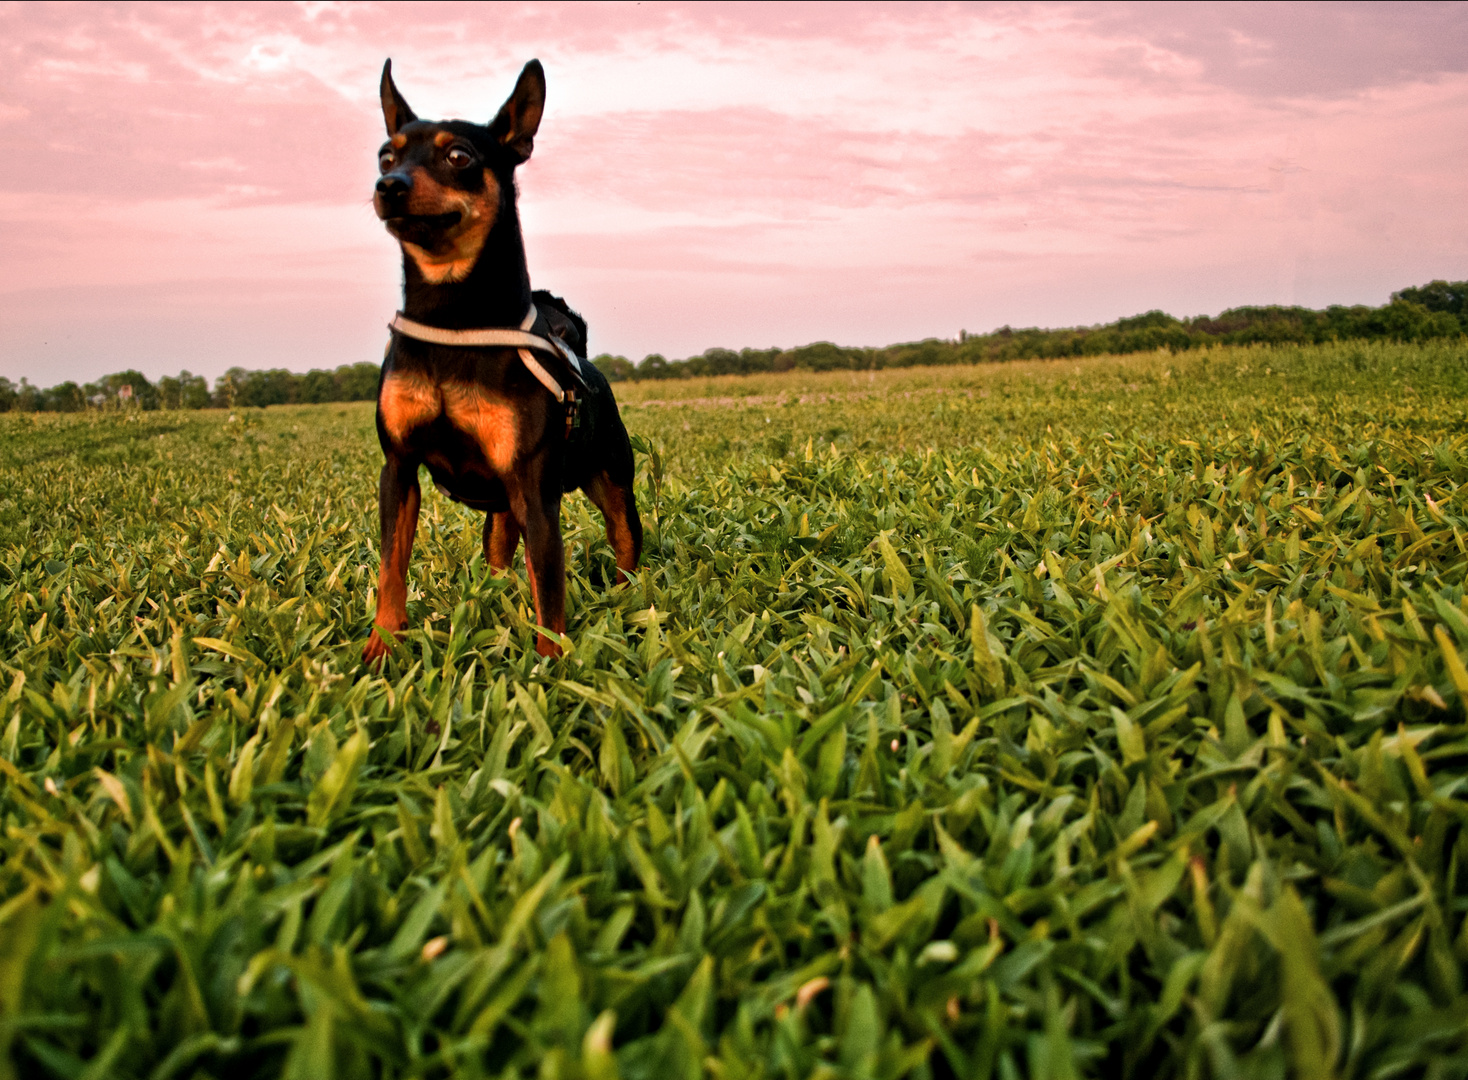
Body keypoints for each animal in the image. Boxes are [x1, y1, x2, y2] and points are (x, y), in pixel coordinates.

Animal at [364, 61, 640, 666]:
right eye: (385, 156)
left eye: (459, 156)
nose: (388, 187)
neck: (452, 323)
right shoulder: (399, 469)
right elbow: (391, 567)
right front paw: (381, 645)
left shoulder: (535, 492)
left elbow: (550, 593)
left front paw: (551, 668)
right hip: (501, 511)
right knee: (498, 561)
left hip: (612, 485)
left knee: (627, 550)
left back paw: (628, 602)